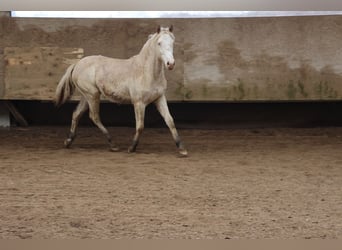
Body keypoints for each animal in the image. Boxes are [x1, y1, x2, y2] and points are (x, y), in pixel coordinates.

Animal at [54, 24, 187, 155]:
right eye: (159, 43)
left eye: (172, 42)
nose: (170, 64)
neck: (146, 72)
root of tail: (77, 64)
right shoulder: (139, 103)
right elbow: (140, 126)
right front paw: (131, 148)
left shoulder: (159, 98)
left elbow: (170, 121)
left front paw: (182, 149)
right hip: (92, 95)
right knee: (94, 117)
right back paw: (113, 145)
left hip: (87, 96)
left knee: (76, 114)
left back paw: (68, 141)